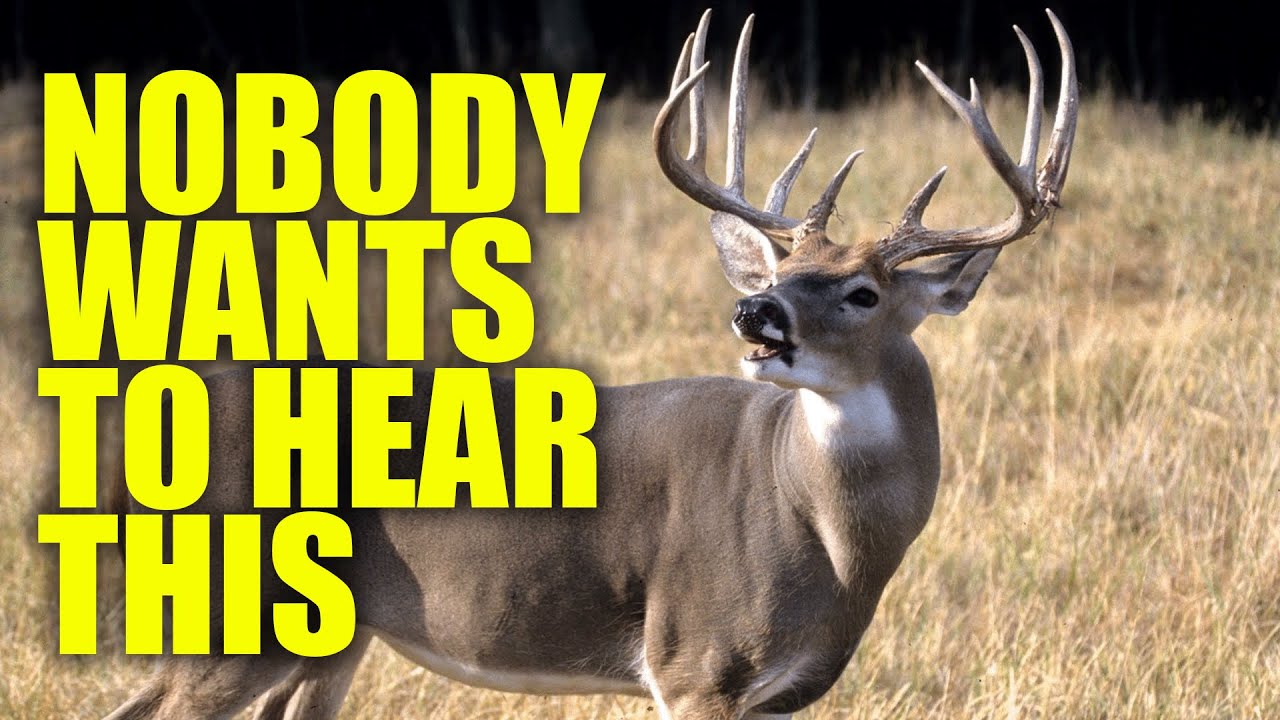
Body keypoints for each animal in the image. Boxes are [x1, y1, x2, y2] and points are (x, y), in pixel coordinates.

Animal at [104, 8, 1076, 720]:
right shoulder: (693, 658)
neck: (829, 537)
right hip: (234, 617)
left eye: (863, 292)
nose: (754, 311)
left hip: (333, 636)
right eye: (780, 272)